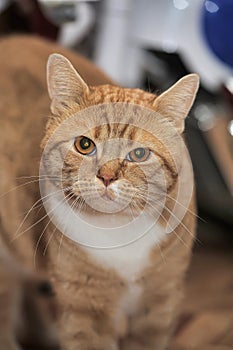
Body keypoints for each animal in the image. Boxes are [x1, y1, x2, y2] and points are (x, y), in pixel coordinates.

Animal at [0, 33, 198, 350]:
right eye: (84, 145)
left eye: (139, 154)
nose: (106, 176)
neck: (120, 234)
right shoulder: (84, 310)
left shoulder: (160, 305)